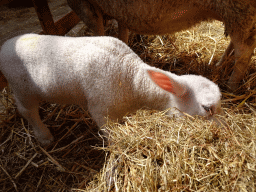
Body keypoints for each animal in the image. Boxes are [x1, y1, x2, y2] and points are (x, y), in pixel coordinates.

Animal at [0, 34, 222, 146]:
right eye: (207, 108)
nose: (224, 131)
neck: (132, 79)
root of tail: (5, 44)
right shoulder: (101, 110)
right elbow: (111, 135)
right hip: (22, 88)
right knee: (27, 111)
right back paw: (45, 138)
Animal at [66, 0, 256, 91]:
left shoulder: (84, 4)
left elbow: (99, 33)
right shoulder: (120, 12)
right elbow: (122, 33)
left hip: (238, 10)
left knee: (244, 52)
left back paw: (231, 86)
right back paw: (219, 65)